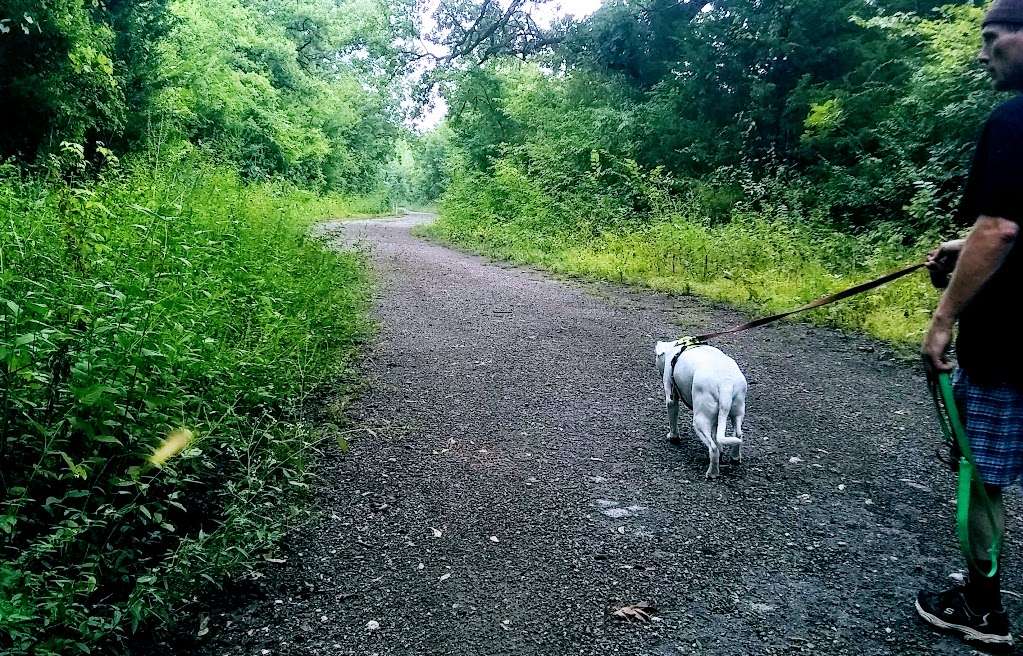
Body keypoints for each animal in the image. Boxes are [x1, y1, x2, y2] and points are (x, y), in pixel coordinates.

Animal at [658, 343, 748, 474]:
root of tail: (726, 384)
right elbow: (716, 435)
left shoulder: (671, 396)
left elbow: (672, 418)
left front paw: (673, 437)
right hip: (737, 411)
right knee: (737, 434)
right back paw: (735, 457)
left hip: (700, 420)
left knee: (713, 448)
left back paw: (712, 473)